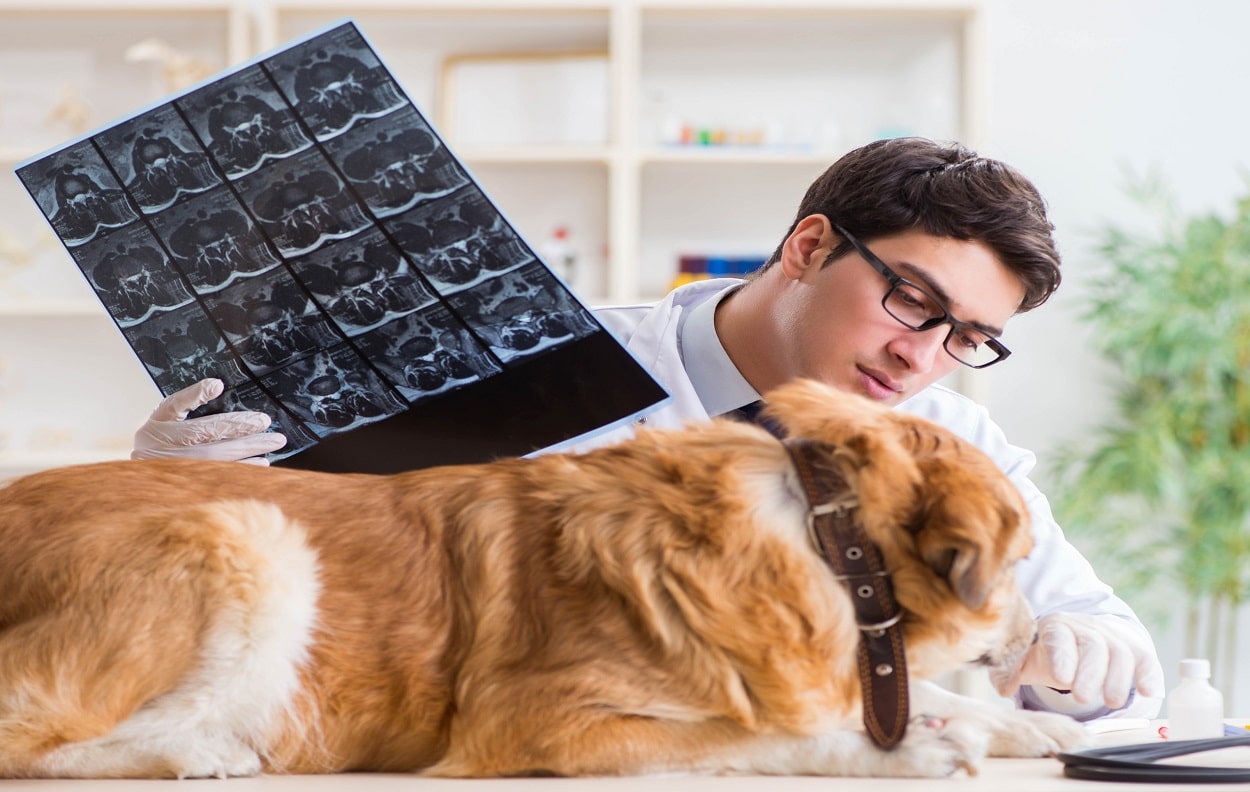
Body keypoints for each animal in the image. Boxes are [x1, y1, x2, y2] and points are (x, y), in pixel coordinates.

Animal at [0, 377, 1085, 779]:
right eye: (1020, 553)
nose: (1038, 635)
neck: (821, 537)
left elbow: (898, 697)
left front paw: (1026, 727)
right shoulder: (543, 725)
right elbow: (760, 740)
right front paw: (907, 755)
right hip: (248, 530)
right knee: (38, 736)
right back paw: (203, 753)